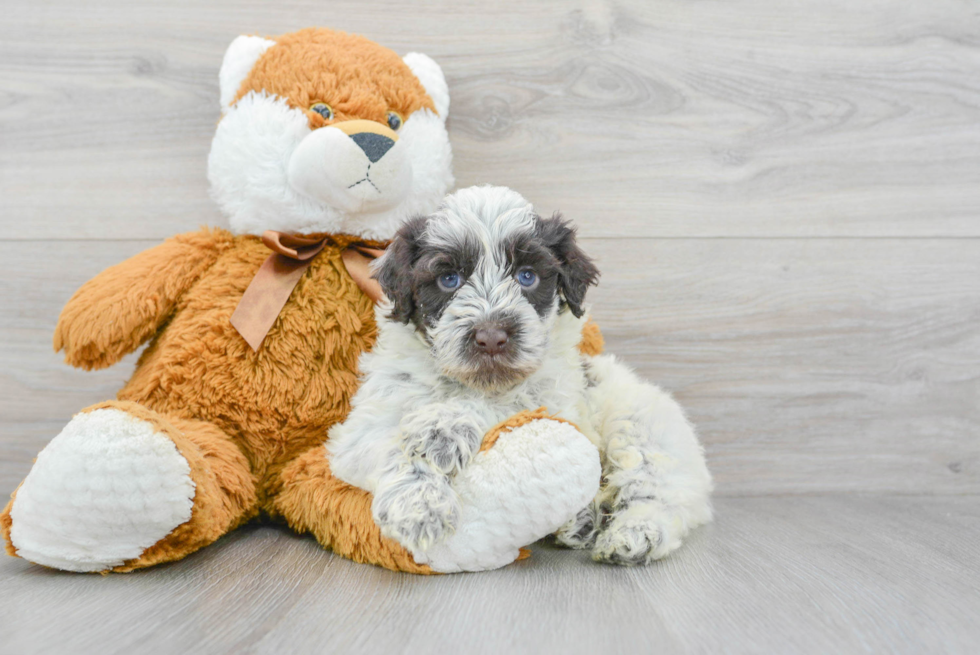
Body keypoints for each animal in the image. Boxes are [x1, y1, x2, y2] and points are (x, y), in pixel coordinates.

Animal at [330, 184, 712, 564]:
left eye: (527, 276)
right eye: (449, 279)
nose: (491, 338)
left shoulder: (555, 404)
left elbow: (504, 408)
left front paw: (443, 427)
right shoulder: (360, 430)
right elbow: (389, 446)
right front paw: (420, 508)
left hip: (642, 425)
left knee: (657, 491)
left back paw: (633, 534)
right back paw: (580, 523)